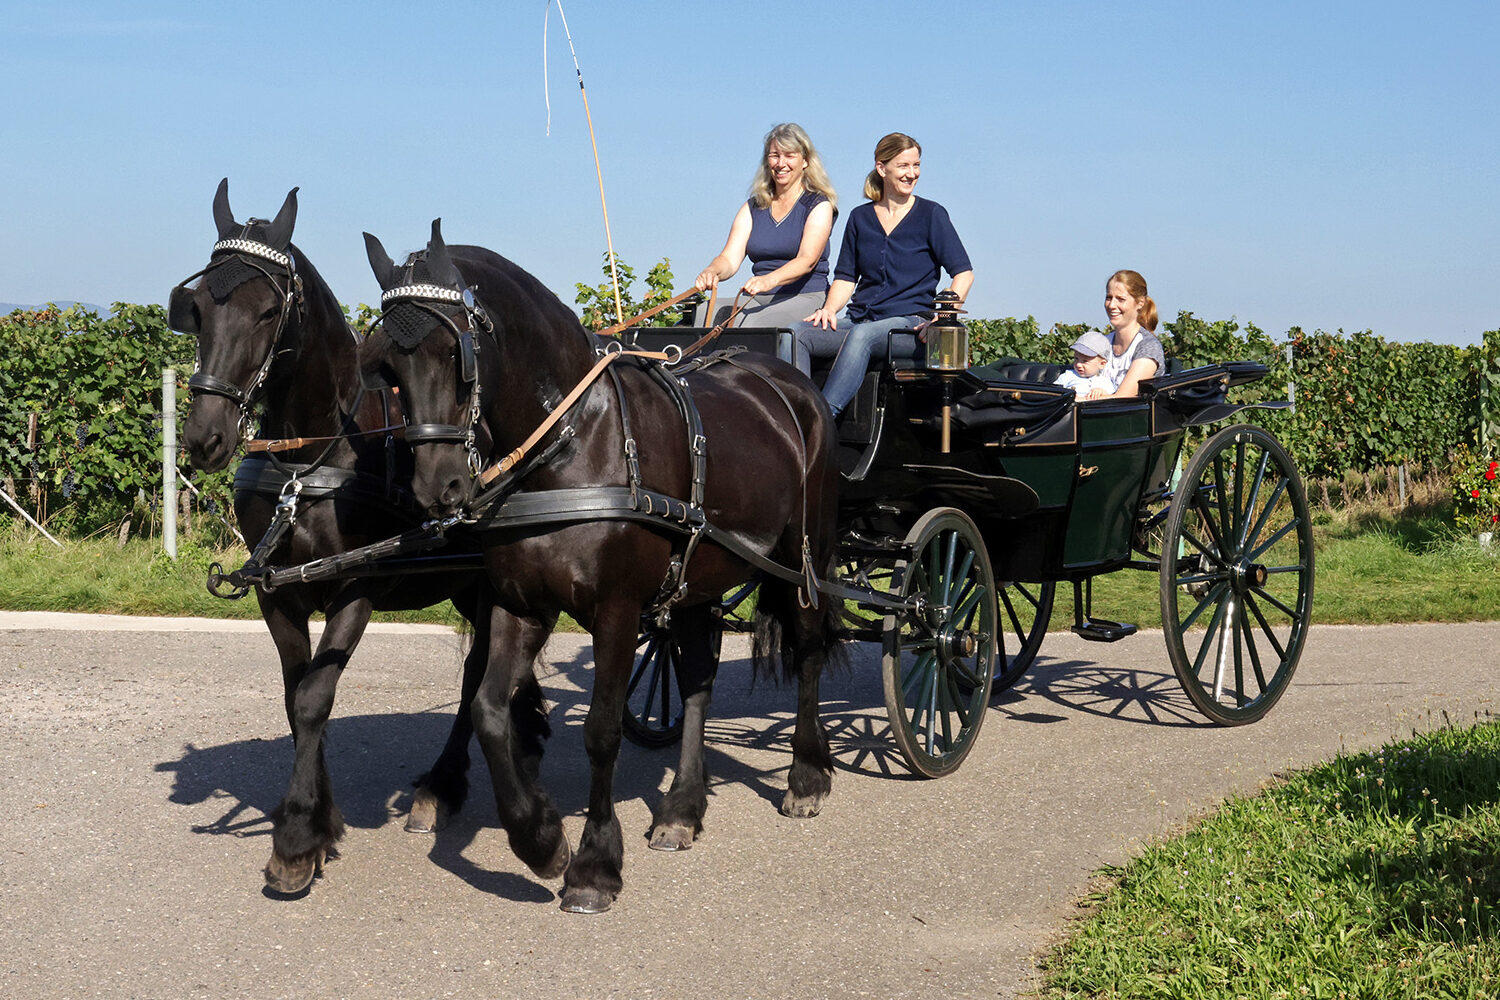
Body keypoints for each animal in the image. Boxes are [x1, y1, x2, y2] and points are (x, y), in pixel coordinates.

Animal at [171, 183, 552, 893]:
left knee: (477, 675)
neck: (311, 460)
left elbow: (317, 697)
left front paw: (297, 837)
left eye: (270, 311)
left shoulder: (356, 586)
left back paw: (443, 785)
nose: (204, 438)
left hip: (487, 582)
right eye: (200, 307)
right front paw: (320, 819)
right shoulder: (277, 592)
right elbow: (295, 695)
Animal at [354, 223, 846, 911]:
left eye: (457, 352)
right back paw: (682, 809)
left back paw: (805, 775)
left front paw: (593, 863)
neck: (576, 446)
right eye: (390, 369)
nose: (439, 488)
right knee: (698, 678)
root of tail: (791, 385)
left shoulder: (616, 610)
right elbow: (488, 710)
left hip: (799, 563)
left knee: (807, 649)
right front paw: (539, 838)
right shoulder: (519, 603)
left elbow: (602, 730)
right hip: (696, 579)